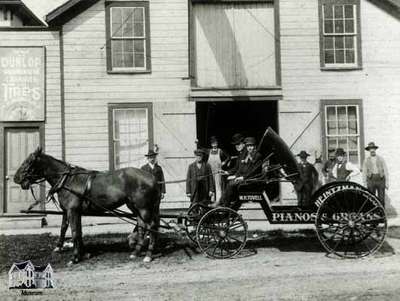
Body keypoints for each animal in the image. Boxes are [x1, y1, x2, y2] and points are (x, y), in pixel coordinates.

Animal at [14, 147, 161, 262]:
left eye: (29, 161)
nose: (16, 178)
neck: (68, 181)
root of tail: (152, 178)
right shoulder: (73, 212)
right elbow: (74, 231)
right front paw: (83, 254)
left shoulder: (72, 211)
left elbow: (74, 232)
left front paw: (75, 258)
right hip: (135, 207)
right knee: (142, 226)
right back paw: (136, 252)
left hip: (144, 207)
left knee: (151, 226)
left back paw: (148, 254)